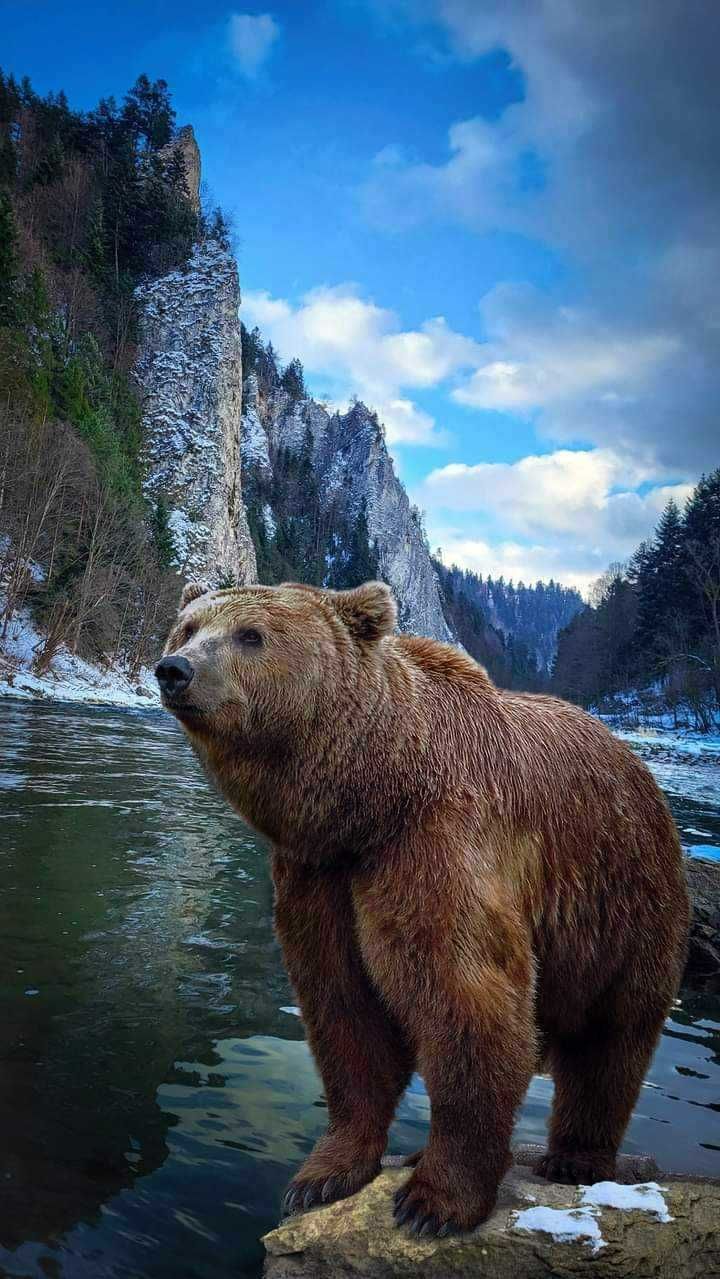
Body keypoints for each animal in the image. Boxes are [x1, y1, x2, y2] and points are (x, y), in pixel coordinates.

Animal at [157, 580, 690, 1238]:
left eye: (250, 635)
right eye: (188, 627)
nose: (175, 669)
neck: (371, 798)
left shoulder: (437, 846)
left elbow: (467, 1000)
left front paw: (433, 1201)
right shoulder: (319, 875)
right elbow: (344, 1010)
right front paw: (322, 1175)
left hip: (621, 904)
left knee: (610, 1040)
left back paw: (575, 1158)